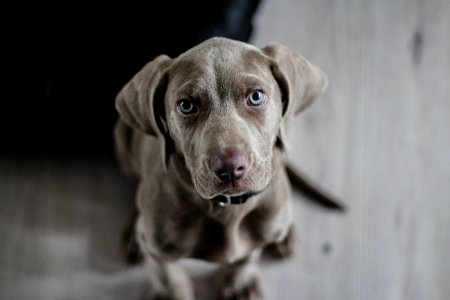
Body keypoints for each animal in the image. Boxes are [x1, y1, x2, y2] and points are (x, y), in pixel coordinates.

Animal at [115, 37, 334, 300]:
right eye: (186, 105)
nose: (230, 168)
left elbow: (246, 257)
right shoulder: (158, 250)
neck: (227, 210)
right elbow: (169, 277)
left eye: (256, 96)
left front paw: (239, 284)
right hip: (122, 139)